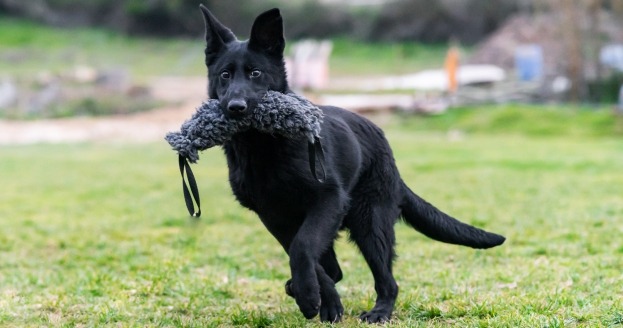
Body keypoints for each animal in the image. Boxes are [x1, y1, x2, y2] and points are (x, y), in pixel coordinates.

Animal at [200, 4, 508, 322]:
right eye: (225, 75)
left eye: (255, 73)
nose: (235, 108)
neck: (264, 145)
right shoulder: (273, 215)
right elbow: (305, 254)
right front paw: (320, 299)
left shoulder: (328, 199)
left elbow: (302, 247)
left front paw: (310, 296)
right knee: (334, 268)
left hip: (369, 222)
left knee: (387, 281)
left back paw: (380, 311)